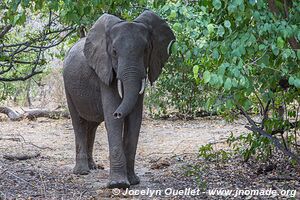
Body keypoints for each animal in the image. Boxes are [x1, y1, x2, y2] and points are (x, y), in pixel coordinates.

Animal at [63, 10, 176, 189]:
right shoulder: (105, 70)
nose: (118, 113)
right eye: (114, 52)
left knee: (92, 125)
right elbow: (112, 119)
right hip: (68, 87)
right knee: (78, 122)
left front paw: (133, 181)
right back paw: (82, 172)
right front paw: (119, 184)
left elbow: (135, 118)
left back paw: (93, 167)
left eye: (146, 50)